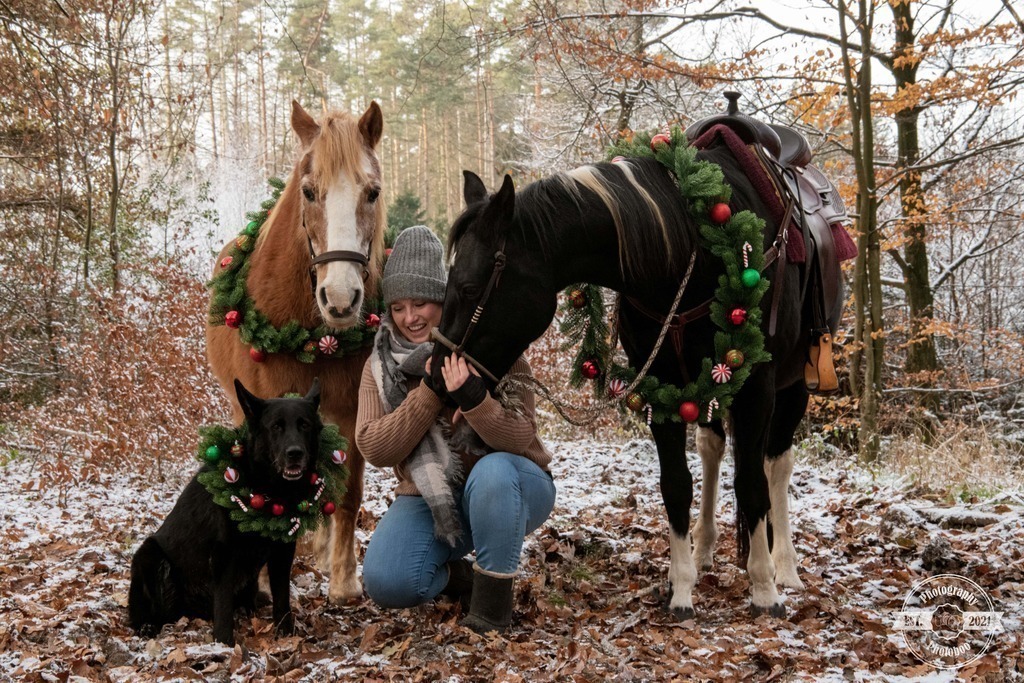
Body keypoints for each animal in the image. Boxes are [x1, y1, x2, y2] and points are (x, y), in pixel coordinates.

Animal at [206, 100, 386, 604]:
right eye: (309, 191)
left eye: (372, 192)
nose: (340, 300)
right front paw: (268, 580)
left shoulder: (352, 411)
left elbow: (348, 493)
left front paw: (343, 579)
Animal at [428, 146, 843, 619]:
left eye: (469, 286)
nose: (435, 375)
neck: (686, 251)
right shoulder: (661, 387)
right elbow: (676, 485)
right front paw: (681, 588)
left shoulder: (757, 388)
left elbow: (751, 484)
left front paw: (763, 588)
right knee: (712, 449)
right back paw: (704, 550)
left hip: (792, 387)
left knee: (776, 466)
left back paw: (785, 567)